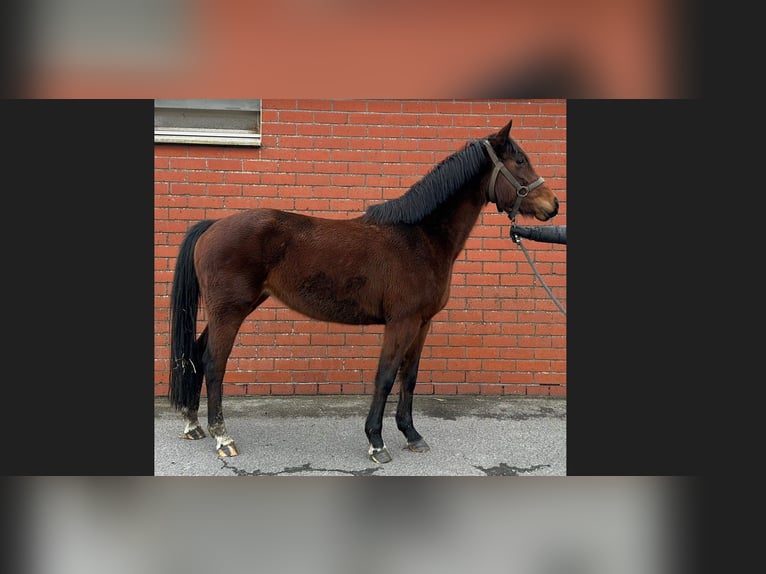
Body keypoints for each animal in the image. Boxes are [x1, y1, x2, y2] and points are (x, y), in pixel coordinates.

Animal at [171, 118, 560, 464]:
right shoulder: (401, 322)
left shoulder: (422, 324)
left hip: (232, 309)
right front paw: (376, 442)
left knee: (196, 353)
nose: (552, 205)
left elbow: (409, 377)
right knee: (214, 363)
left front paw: (412, 435)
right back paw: (223, 437)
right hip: (230, 311)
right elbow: (385, 377)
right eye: (520, 161)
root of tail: (213, 226)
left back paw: (193, 425)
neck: (420, 237)